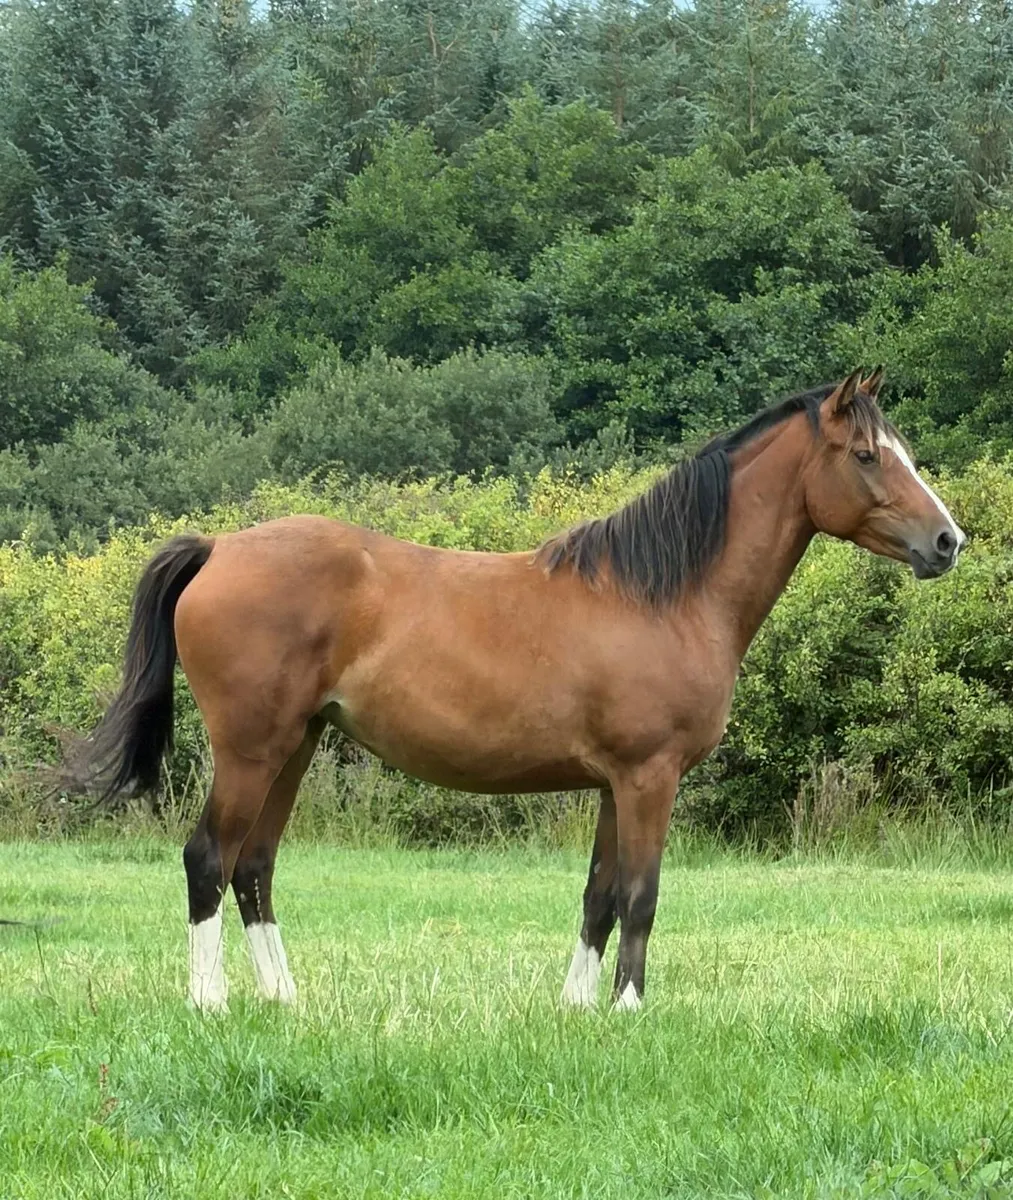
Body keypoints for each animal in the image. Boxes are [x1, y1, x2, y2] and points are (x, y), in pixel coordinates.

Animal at [71, 368, 965, 1013]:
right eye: (866, 456)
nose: (946, 541)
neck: (663, 595)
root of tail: (220, 548)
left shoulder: (613, 784)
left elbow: (598, 895)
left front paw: (575, 1007)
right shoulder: (649, 778)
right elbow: (640, 894)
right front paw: (629, 1011)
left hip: (295, 745)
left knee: (254, 867)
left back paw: (284, 999)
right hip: (251, 749)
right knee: (208, 859)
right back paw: (210, 1001)